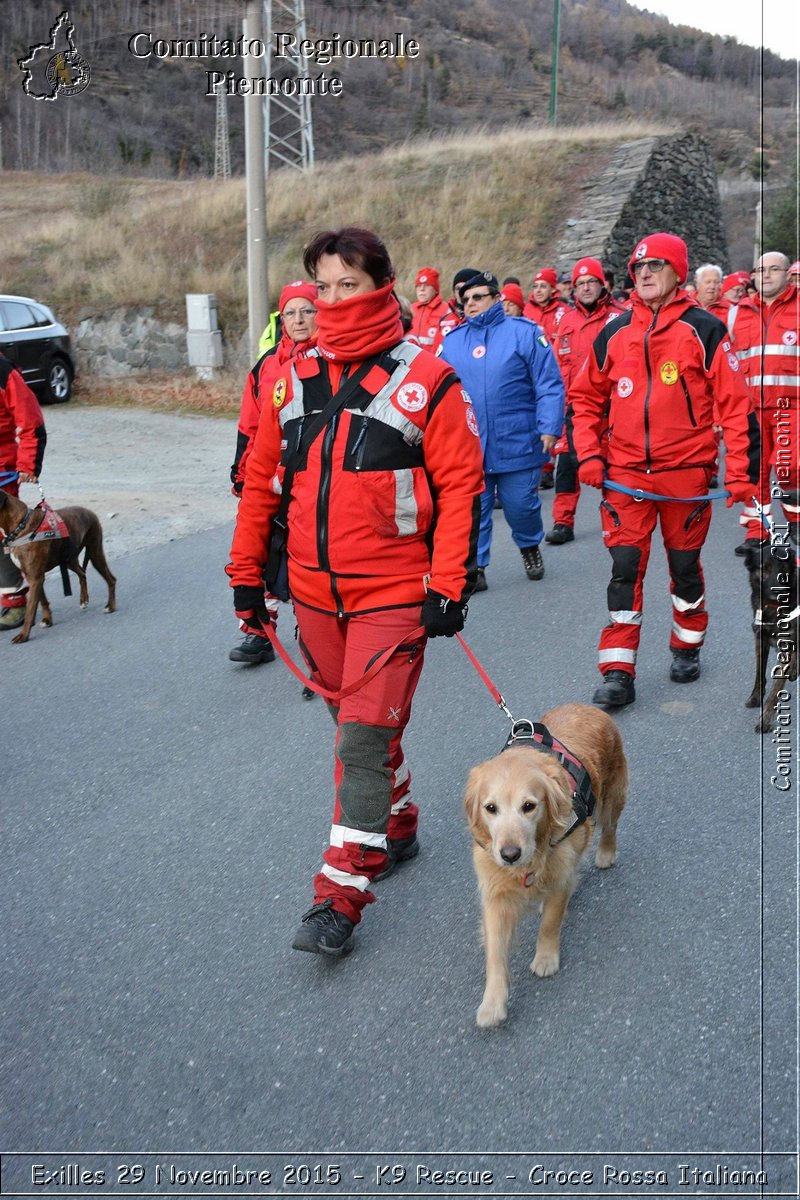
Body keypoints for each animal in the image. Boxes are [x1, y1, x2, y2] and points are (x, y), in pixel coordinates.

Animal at [0, 487, 115, 643]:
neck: (21, 526)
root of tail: (90, 512)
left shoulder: (35, 577)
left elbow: (30, 610)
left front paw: (23, 635)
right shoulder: (34, 577)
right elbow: (42, 600)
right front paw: (47, 620)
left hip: (95, 553)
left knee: (111, 579)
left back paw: (110, 606)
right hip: (69, 560)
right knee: (82, 573)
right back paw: (84, 600)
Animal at [465, 700, 628, 1032]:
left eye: (529, 806)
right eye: (490, 808)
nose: (509, 854)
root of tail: (586, 706)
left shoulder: (558, 876)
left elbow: (550, 923)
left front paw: (546, 958)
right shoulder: (495, 894)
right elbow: (495, 953)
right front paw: (492, 1003)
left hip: (612, 796)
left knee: (609, 827)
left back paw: (606, 854)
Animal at [743, 544, 800, 729]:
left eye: (783, 568)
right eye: (764, 568)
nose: (778, 592)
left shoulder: (786, 644)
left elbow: (776, 687)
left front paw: (766, 718)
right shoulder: (760, 640)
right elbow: (759, 673)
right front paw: (755, 697)